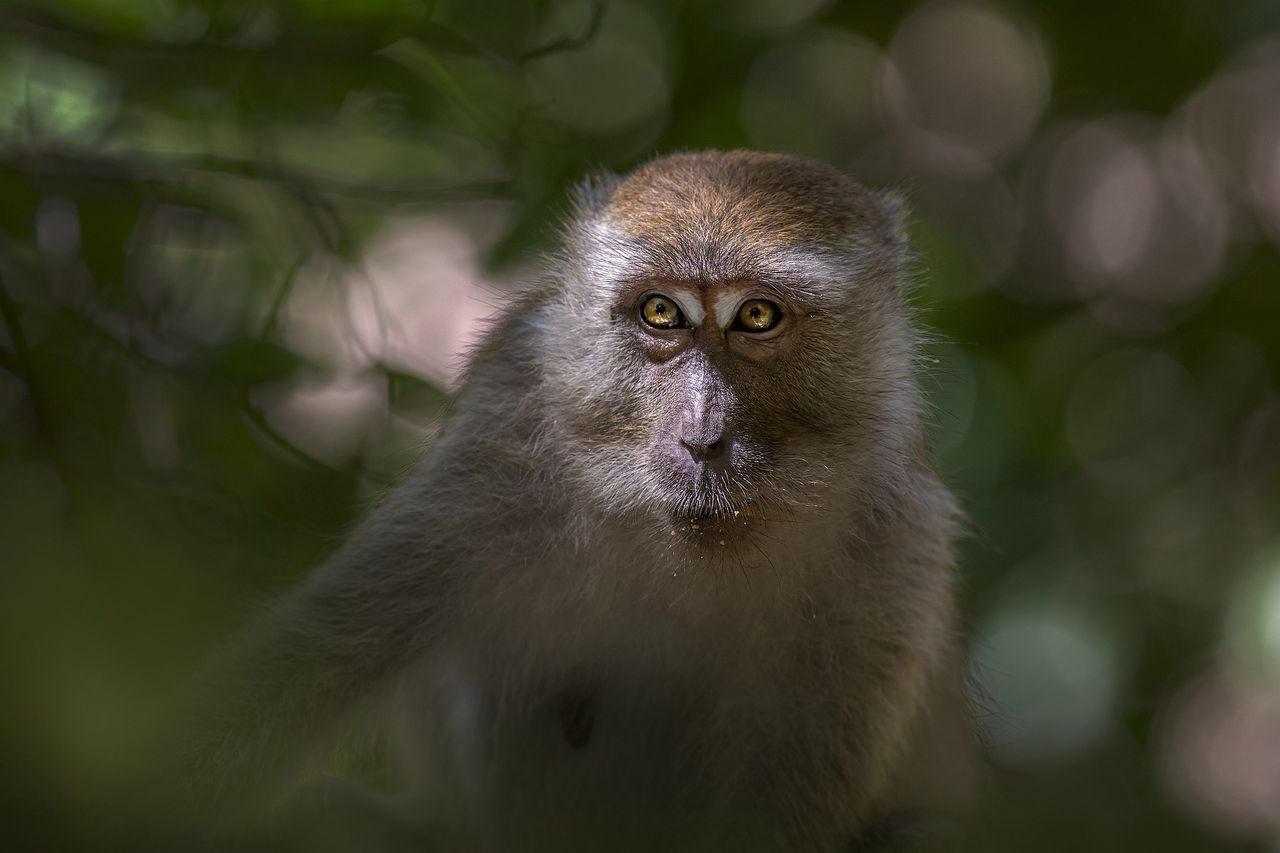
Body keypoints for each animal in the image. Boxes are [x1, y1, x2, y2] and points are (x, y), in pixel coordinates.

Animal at [186, 149, 977, 845]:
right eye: (662, 312)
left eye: (757, 316)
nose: (702, 433)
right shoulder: (503, 441)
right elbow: (306, 663)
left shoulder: (891, 531)